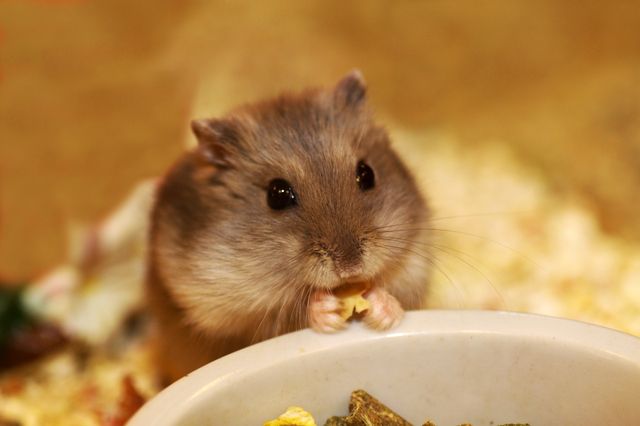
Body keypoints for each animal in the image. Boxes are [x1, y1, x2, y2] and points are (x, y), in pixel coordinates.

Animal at [147, 71, 431, 382]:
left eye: (367, 174)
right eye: (277, 195)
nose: (350, 267)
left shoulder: (415, 263)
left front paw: (382, 309)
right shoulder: (233, 316)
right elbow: (284, 316)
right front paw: (326, 310)